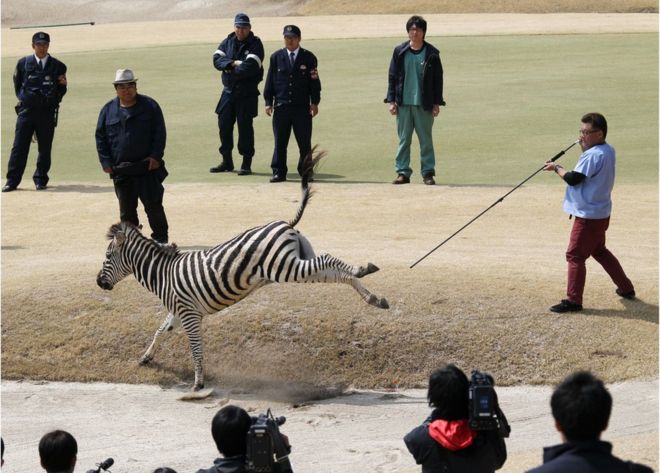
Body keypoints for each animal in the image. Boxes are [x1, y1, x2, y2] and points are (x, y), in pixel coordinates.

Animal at [95, 149, 390, 390]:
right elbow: (160, 330)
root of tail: (285, 223)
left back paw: (365, 269)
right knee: (336, 272)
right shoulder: (179, 311)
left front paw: (198, 382)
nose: (99, 282)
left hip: (285, 266)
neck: (162, 274)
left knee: (329, 260)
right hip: (299, 263)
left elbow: (196, 348)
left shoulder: (190, 315)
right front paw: (146, 357)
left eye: (107, 256)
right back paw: (373, 295)